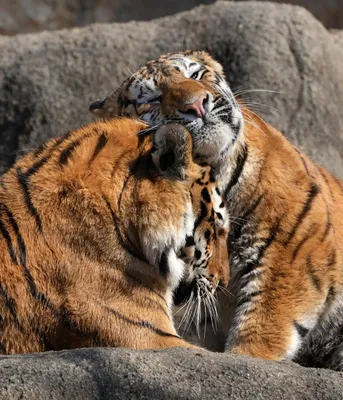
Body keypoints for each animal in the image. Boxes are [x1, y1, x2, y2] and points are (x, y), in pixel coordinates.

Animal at [90, 50, 343, 372]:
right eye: (152, 99)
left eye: (196, 75)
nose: (196, 105)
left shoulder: (291, 248)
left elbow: (265, 320)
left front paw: (246, 358)